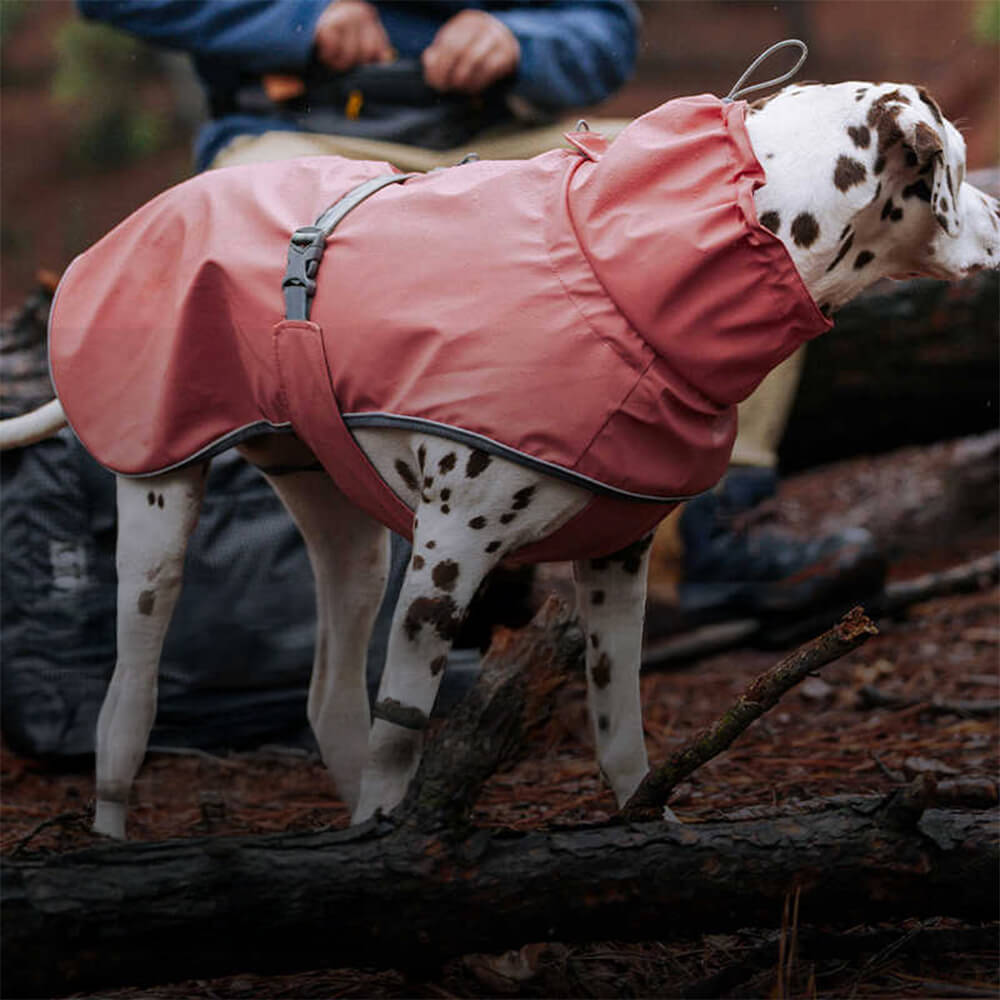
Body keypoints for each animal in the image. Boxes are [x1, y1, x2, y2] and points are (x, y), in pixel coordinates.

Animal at [0, 84, 996, 836]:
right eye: (953, 156)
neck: (621, 273)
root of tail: (138, 219)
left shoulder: (617, 567)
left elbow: (622, 734)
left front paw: (648, 829)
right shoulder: (445, 567)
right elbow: (403, 735)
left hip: (349, 543)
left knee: (328, 700)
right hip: (159, 526)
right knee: (126, 713)